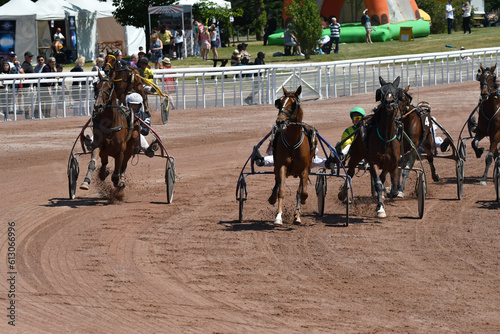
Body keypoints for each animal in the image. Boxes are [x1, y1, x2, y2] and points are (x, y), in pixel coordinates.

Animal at [270, 86, 316, 224]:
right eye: (280, 103)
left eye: (293, 103)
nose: (280, 121)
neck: (292, 142)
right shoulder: (282, 166)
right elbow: (281, 190)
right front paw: (278, 216)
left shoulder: (304, 169)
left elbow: (303, 192)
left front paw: (298, 213)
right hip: (276, 165)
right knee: (277, 181)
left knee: (300, 190)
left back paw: (297, 215)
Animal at [338, 76, 404, 218]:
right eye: (381, 92)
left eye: (396, 92)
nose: (389, 102)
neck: (385, 138)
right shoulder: (373, 161)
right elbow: (378, 183)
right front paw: (380, 208)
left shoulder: (393, 163)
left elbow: (394, 188)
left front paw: (386, 195)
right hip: (356, 154)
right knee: (350, 172)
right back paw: (343, 193)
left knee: (382, 177)